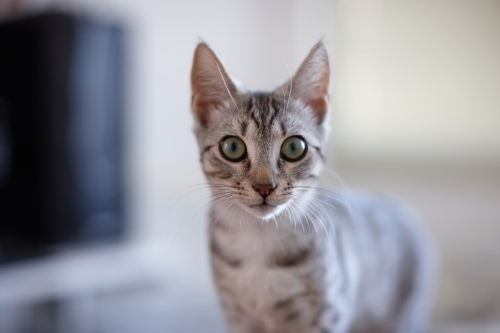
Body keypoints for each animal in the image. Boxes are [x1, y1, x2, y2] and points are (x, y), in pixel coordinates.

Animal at [189, 41, 432, 332]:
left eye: (294, 147)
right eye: (232, 147)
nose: (264, 186)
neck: (259, 244)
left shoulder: (325, 316)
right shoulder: (238, 318)